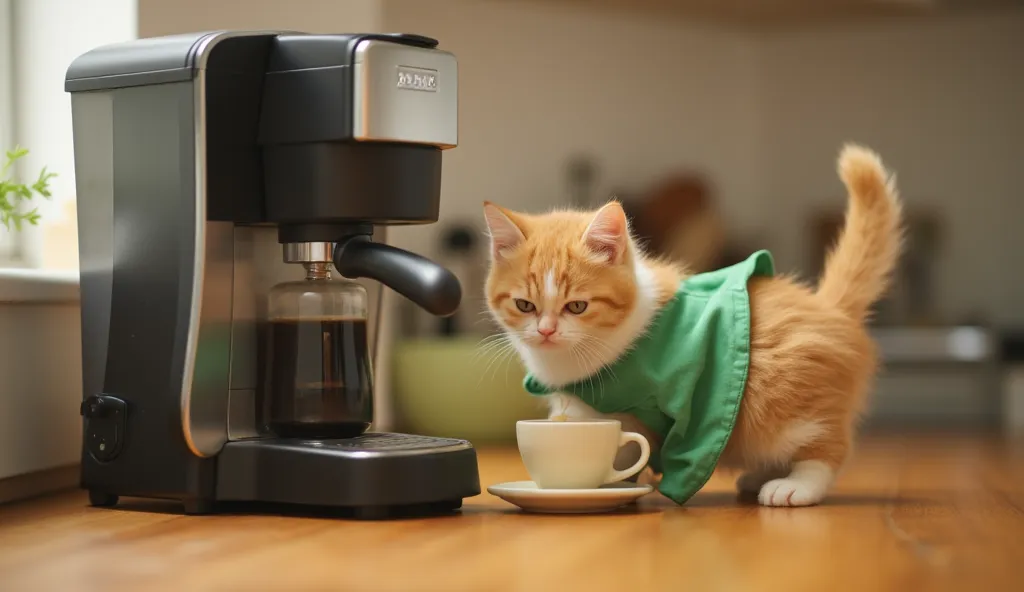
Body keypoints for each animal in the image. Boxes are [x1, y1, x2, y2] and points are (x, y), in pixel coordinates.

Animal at [483, 143, 901, 501]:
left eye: (577, 307)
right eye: (524, 305)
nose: (546, 331)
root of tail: (829, 308)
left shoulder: (630, 409)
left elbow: (623, 450)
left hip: (782, 399)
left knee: (827, 443)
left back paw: (796, 486)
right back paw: (760, 476)